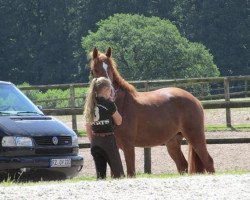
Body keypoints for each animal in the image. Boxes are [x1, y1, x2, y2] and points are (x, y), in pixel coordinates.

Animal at [88, 47, 215, 177]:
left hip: (195, 136)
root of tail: (195, 100)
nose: (110, 93)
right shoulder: (114, 148)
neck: (121, 103)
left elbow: (131, 172)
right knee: (182, 165)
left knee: (208, 161)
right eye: (94, 70)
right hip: (173, 141)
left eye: (110, 69)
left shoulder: (128, 145)